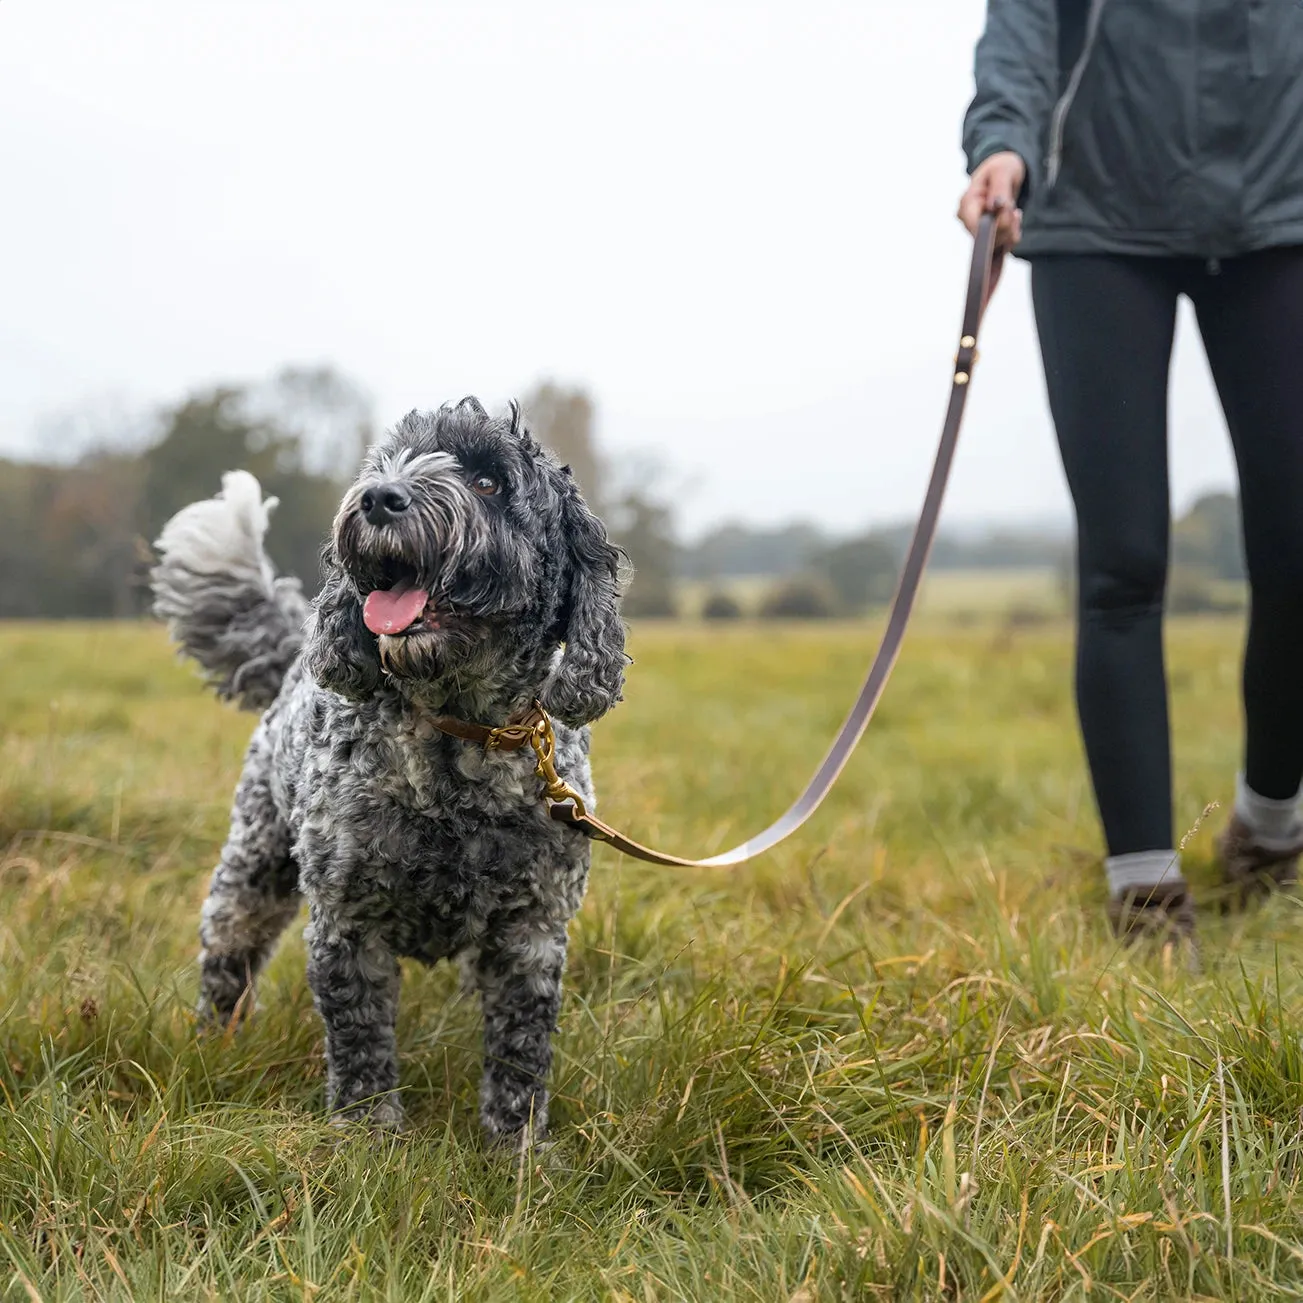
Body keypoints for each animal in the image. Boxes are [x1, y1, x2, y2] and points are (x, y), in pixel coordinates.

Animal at [149, 396, 628, 1141]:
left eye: (489, 481)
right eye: (391, 461)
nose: (379, 498)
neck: (454, 735)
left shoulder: (531, 933)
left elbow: (520, 1056)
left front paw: (516, 1149)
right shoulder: (349, 923)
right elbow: (360, 1041)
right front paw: (367, 1137)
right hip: (253, 867)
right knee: (228, 955)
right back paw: (212, 1041)